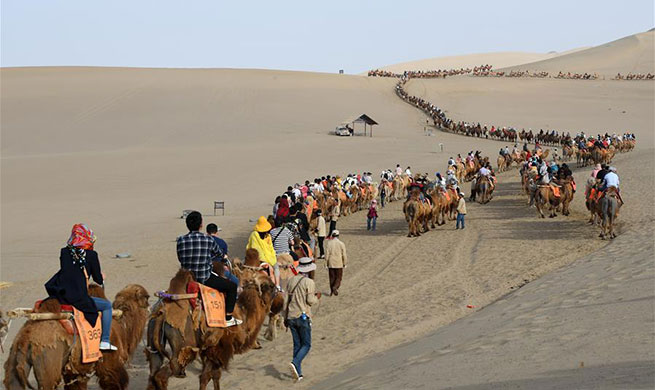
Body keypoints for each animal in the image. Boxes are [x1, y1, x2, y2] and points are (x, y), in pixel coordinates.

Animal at [4, 284, 150, 390]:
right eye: (146, 298)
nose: (150, 306)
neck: (122, 326)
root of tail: (25, 338)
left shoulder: (75, 372)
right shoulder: (110, 364)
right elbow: (115, 382)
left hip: (15, 360)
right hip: (48, 364)